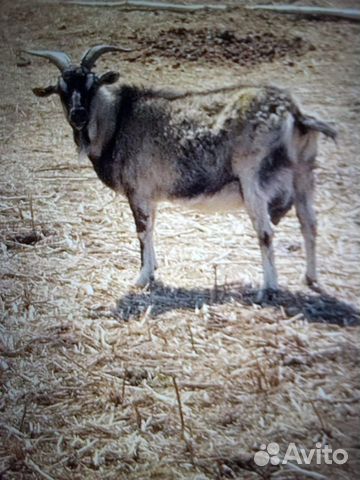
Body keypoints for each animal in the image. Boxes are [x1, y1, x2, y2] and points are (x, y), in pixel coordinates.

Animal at [26, 46, 336, 300]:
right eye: (61, 89)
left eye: (91, 85)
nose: (78, 115)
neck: (118, 122)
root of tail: (294, 113)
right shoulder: (150, 195)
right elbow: (151, 228)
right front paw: (152, 269)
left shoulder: (138, 191)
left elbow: (142, 231)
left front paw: (142, 278)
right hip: (304, 174)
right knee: (309, 223)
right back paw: (310, 278)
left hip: (253, 180)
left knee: (266, 231)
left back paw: (268, 288)